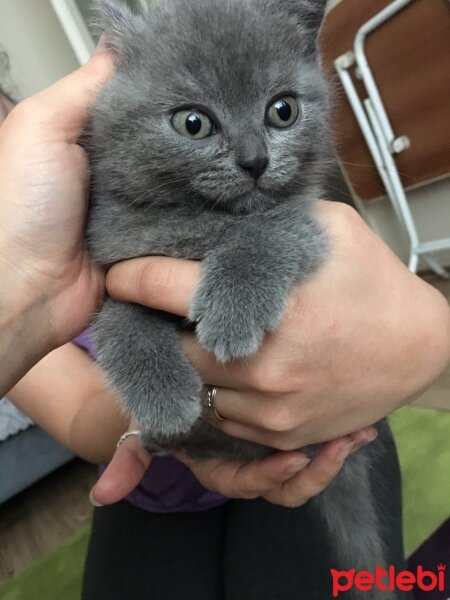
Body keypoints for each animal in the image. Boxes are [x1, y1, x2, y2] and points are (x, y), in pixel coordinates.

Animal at [88, 0, 398, 592]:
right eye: (193, 122)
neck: (201, 222)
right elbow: (119, 322)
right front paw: (163, 396)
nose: (254, 160)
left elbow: (264, 233)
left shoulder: (312, 224)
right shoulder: (119, 261)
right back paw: (165, 438)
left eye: (283, 111)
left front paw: (230, 316)